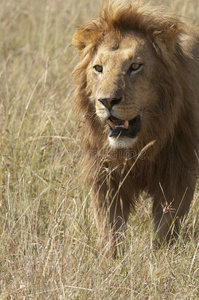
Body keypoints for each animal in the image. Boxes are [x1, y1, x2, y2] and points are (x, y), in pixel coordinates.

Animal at [72, 0, 199, 254]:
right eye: (98, 68)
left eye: (135, 66)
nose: (107, 101)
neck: (137, 148)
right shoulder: (105, 176)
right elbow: (109, 229)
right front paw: (110, 259)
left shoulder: (178, 174)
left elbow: (165, 230)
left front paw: (158, 258)